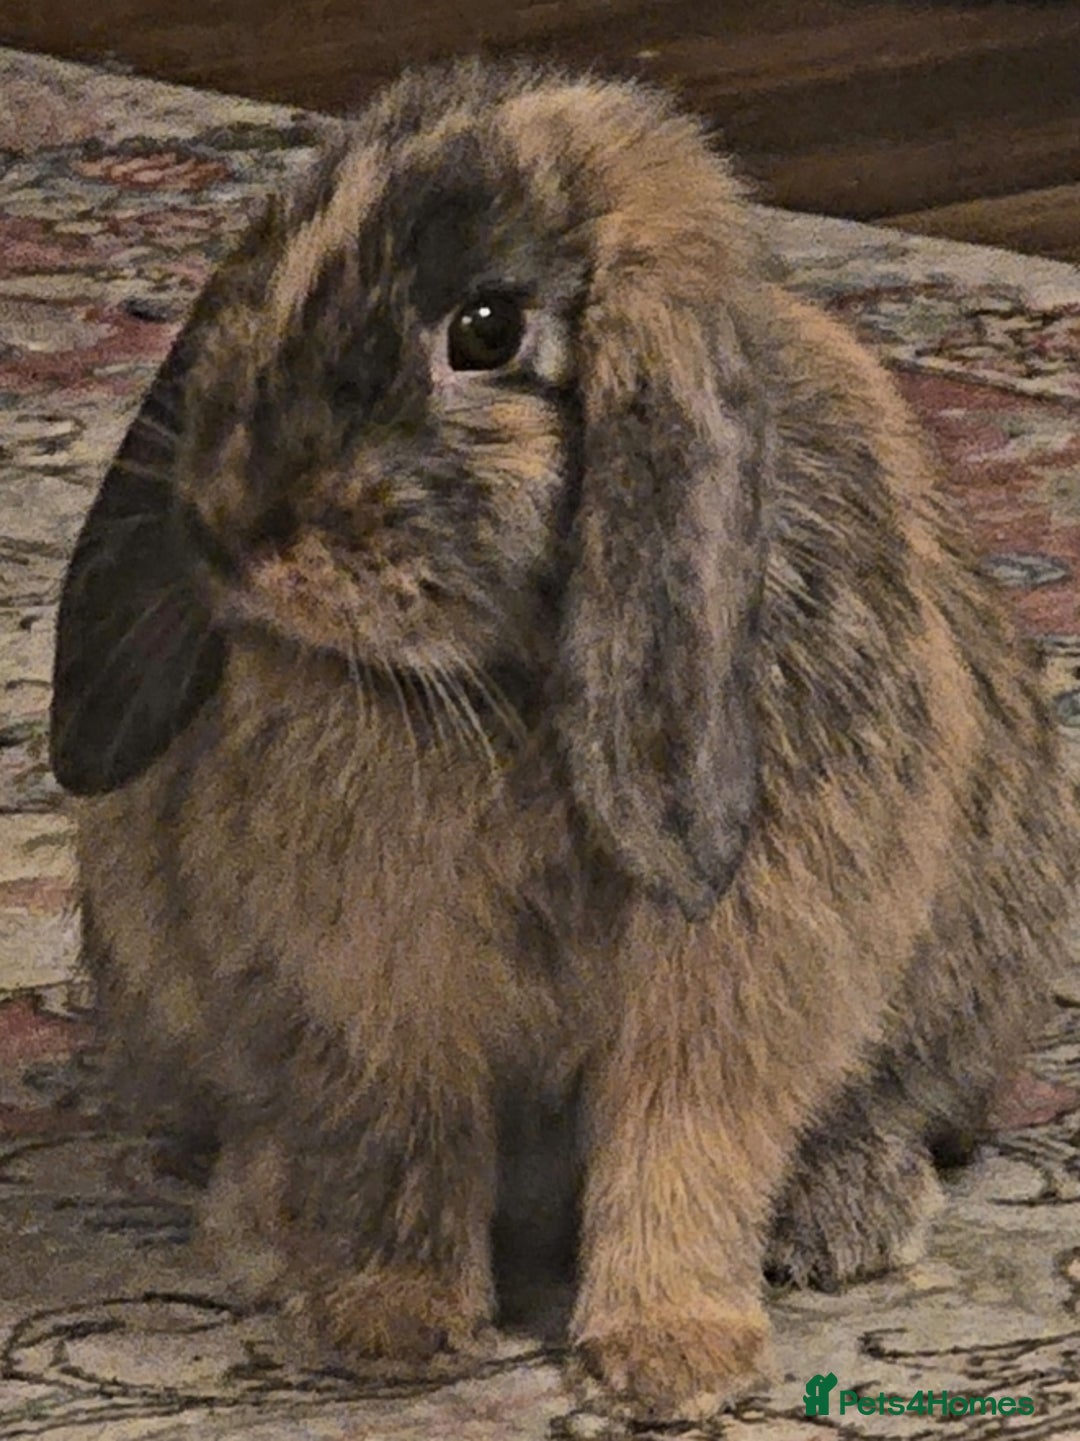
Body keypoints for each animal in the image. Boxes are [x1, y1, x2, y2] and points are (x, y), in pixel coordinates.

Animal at [49, 57, 1077, 1423]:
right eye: (266, 264)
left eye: (485, 331)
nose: (231, 531)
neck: (490, 684)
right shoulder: (379, 995)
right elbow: (402, 1146)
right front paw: (390, 1322)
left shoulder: (730, 987)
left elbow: (679, 1146)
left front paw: (670, 1356)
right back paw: (265, 1218)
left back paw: (842, 1216)